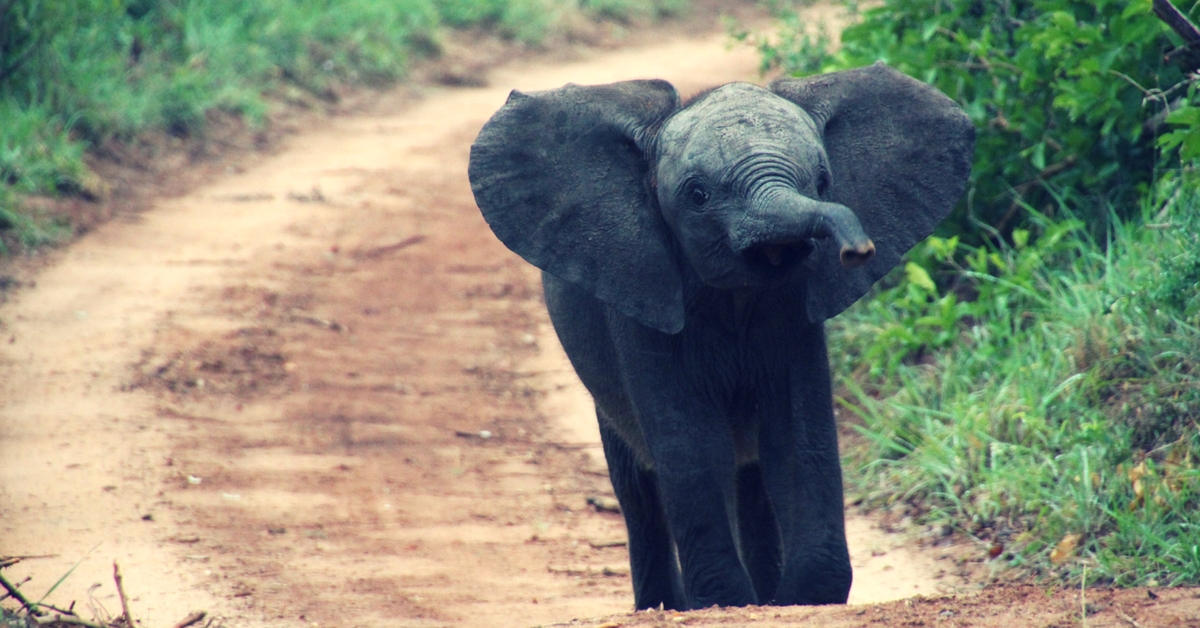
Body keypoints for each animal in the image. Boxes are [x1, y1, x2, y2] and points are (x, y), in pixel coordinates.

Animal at [468, 63, 974, 609]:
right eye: (697, 195)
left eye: (823, 181)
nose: (856, 250)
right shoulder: (641, 294)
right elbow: (694, 443)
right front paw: (723, 600)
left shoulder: (793, 309)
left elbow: (794, 436)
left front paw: (805, 597)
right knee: (638, 487)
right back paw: (665, 606)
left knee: (749, 476)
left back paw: (764, 596)